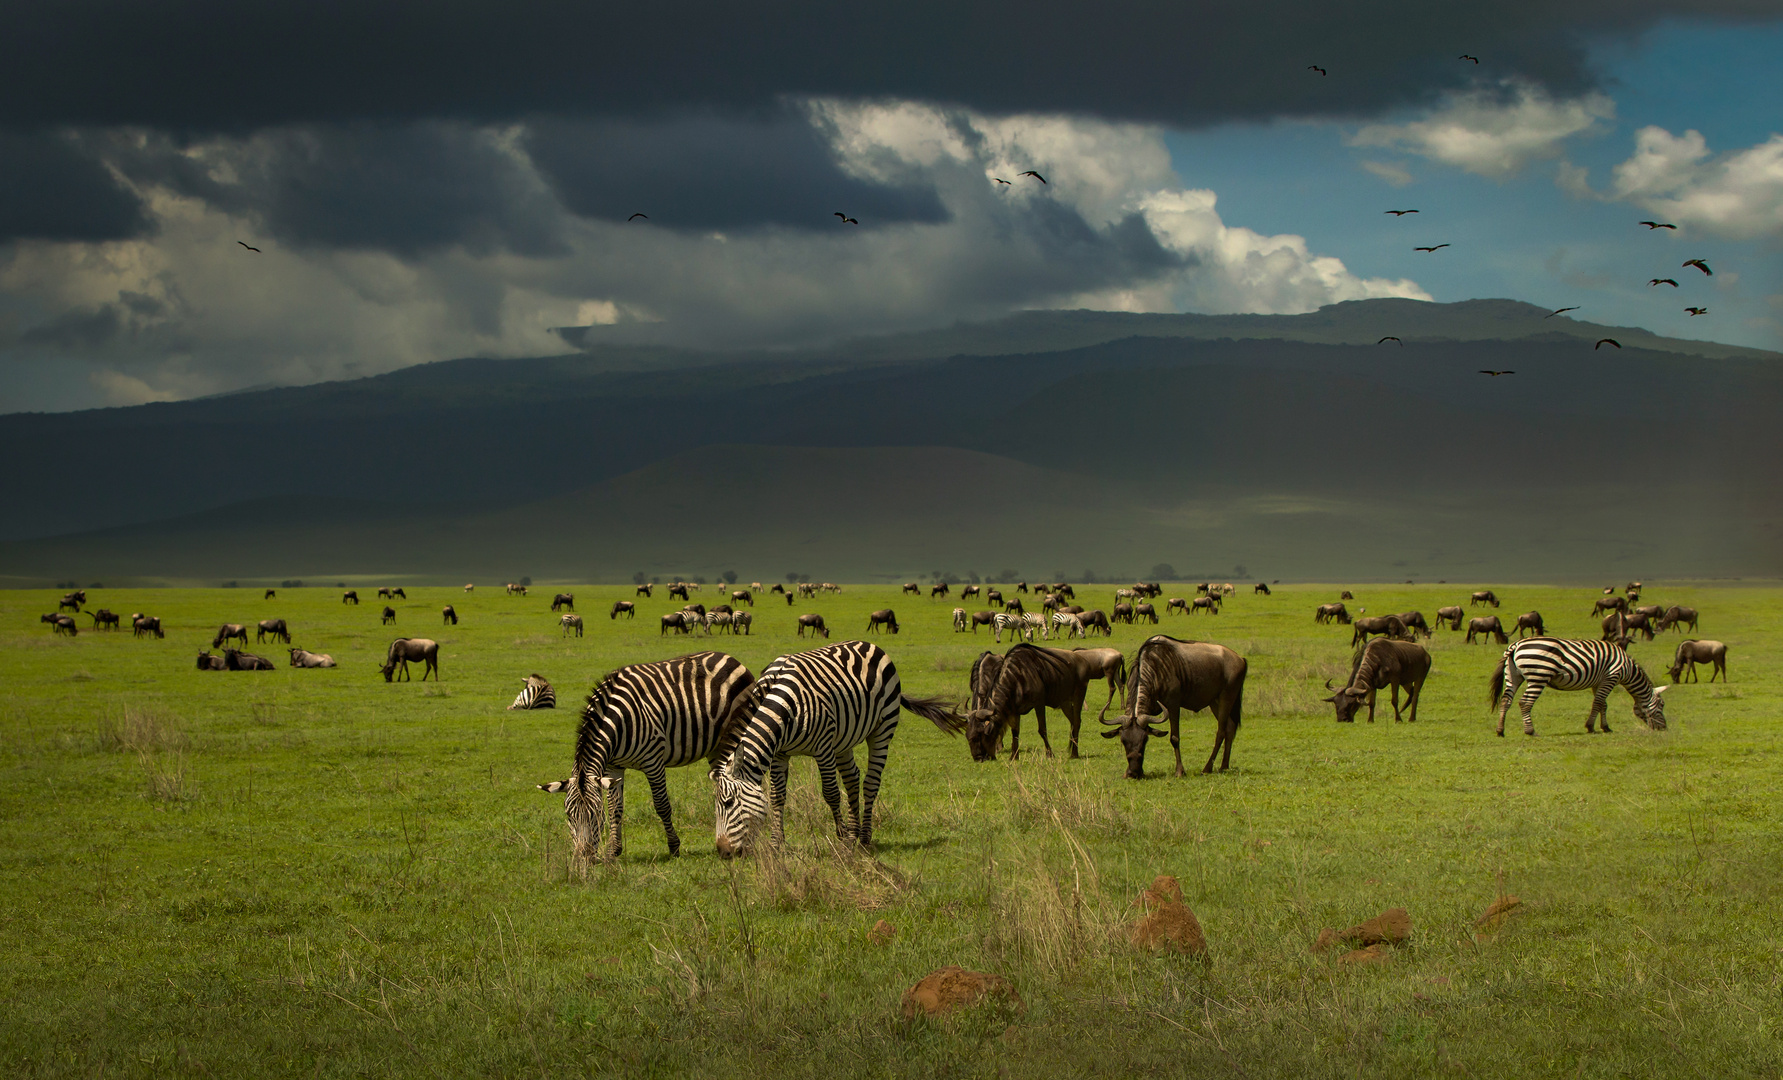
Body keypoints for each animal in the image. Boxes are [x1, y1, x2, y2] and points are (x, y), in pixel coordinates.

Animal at [531, 652, 748, 862]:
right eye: (569, 815)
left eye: (596, 815)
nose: (583, 857)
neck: (616, 721)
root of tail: (728, 657)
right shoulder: (613, 767)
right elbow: (615, 808)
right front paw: (613, 851)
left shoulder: (653, 761)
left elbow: (662, 805)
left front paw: (674, 848)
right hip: (716, 747)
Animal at [709, 638, 962, 859]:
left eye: (728, 803)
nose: (723, 853)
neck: (783, 707)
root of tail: (870, 644)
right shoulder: (780, 753)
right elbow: (777, 796)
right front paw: (776, 844)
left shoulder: (823, 748)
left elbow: (830, 793)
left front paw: (840, 840)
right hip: (843, 740)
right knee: (852, 778)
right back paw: (854, 833)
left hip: (883, 727)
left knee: (871, 782)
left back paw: (863, 838)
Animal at [1490, 638, 1668, 741]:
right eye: (1662, 705)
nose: (1664, 728)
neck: (1628, 669)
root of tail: (1516, 645)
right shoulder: (1611, 677)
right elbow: (1598, 703)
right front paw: (1590, 727)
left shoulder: (1599, 682)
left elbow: (1603, 704)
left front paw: (1605, 727)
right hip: (1539, 674)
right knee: (1525, 702)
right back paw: (1530, 731)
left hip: (1513, 675)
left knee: (1506, 700)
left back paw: (1500, 730)